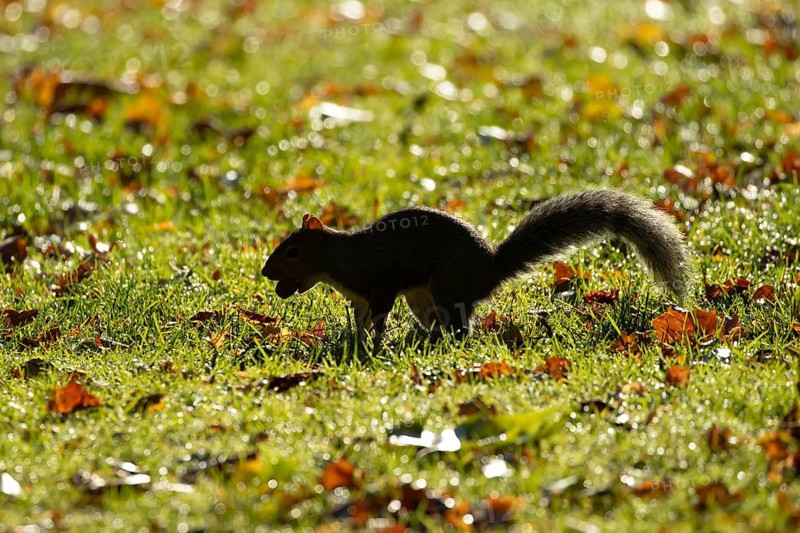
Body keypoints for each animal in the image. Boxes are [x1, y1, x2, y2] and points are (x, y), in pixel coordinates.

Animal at [261, 189, 690, 347]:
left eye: (292, 251)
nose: (266, 273)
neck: (338, 258)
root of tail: (490, 269)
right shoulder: (360, 298)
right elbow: (361, 317)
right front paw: (355, 338)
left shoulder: (380, 281)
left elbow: (379, 316)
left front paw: (373, 343)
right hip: (423, 297)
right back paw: (425, 340)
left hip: (444, 285)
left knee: (461, 326)